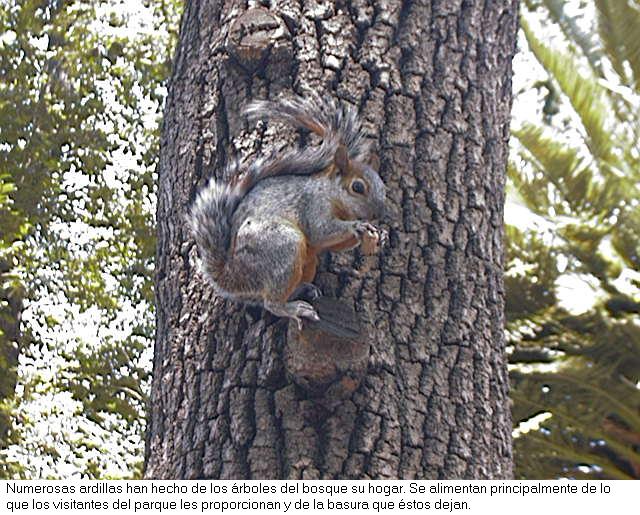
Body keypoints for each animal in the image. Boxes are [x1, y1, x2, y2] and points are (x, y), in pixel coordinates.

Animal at [188, 94, 387, 328]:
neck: (334, 198)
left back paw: (304, 290)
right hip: (283, 245)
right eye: (357, 187)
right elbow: (321, 232)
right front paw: (358, 226)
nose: (379, 214)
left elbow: (335, 245)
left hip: (307, 261)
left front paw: (379, 236)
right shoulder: (313, 206)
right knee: (271, 303)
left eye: (383, 187)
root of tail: (233, 277)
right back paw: (295, 309)